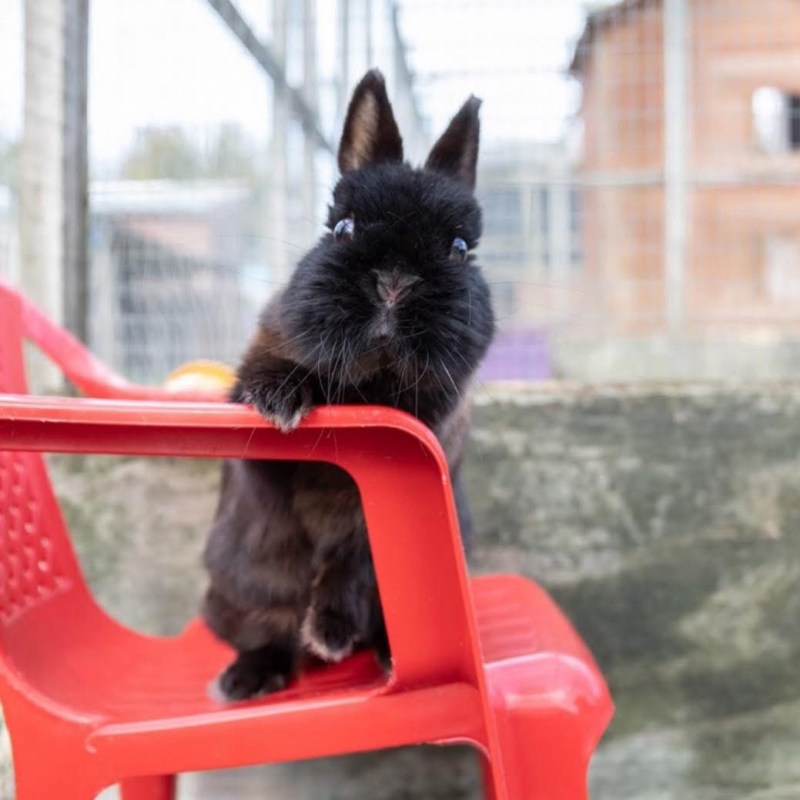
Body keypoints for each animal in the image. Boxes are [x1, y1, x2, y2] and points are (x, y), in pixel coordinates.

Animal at [202, 68, 495, 701]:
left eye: (460, 248)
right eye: (342, 227)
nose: (394, 281)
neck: (369, 388)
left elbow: (353, 561)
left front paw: (331, 631)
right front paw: (282, 399)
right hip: (246, 587)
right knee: (269, 629)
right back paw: (248, 678)